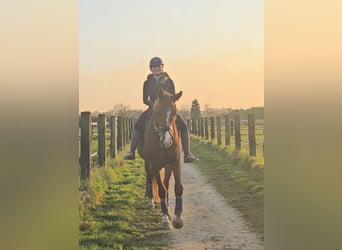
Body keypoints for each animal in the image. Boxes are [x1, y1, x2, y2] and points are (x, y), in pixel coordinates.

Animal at [137, 88, 184, 230]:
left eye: (174, 112)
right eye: (157, 112)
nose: (166, 141)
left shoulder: (175, 163)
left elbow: (177, 187)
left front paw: (177, 218)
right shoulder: (155, 164)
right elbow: (161, 190)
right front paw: (165, 220)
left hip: (167, 166)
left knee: (166, 183)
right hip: (148, 164)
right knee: (149, 178)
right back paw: (151, 202)